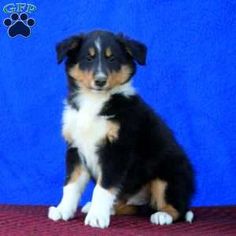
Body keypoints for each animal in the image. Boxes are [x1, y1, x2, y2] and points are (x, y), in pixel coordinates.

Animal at [48, 30, 195, 228]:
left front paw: (97, 218)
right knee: (128, 205)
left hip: (168, 176)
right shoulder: (75, 148)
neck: (93, 101)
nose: (100, 81)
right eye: (88, 58)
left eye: (112, 59)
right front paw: (63, 210)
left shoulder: (116, 150)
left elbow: (103, 187)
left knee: (177, 207)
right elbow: (71, 184)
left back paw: (162, 215)